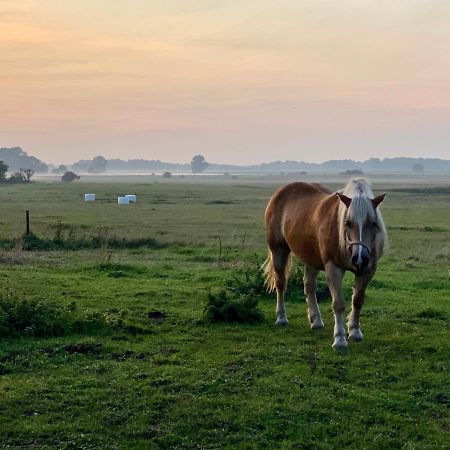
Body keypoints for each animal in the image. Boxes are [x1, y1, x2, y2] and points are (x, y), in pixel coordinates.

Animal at [264, 178, 386, 352]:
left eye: (373, 223)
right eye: (348, 222)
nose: (359, 258)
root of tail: (280, 192)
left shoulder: (367, 271)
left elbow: (357, 300)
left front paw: (355, 331)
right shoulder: (333, 268)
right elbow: (338, 304)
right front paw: (340, 339)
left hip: (311, 258)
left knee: (309, 286)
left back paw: (316, 321)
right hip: (278, 250)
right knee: (281, 283)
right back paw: (281, 318)